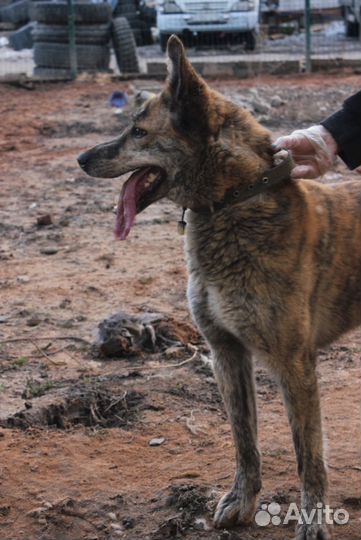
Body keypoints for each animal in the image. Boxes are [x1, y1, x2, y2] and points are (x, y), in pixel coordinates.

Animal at [79, 35, 360, 536]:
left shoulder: (295, 362)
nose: (81, 158)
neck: (233, 201)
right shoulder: (225, 351)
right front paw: (242, 502)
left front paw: (312, 518)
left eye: (139, 132)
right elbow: (244, 439)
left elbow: (308, 453)